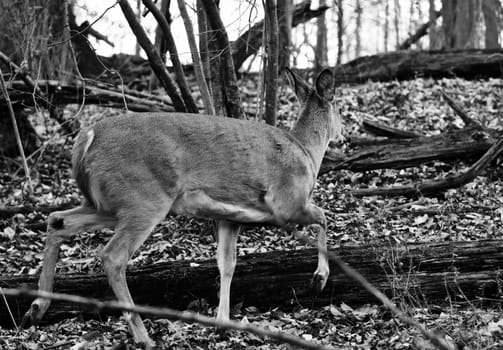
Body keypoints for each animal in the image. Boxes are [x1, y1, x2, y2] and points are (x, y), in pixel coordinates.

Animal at [23, 67, 344, 344]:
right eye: (338, 107)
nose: (342, 132)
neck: (305, 152)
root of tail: (86, 139)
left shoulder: (230, 217)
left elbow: (226, 264)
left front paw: (222, 323)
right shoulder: (286, 202)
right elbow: (324, 217)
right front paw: (320, 278)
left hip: (107, 203)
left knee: (58, 220)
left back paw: (36, 308)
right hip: (144, 199)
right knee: (112, 256)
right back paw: (142, 336)